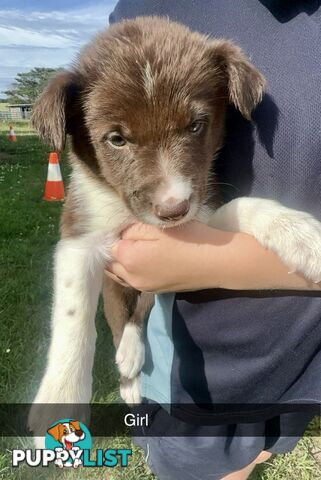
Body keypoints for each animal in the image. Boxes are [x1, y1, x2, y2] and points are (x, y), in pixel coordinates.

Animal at [28, 15, 320, 440]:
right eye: (116, 139)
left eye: (196, 125)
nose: (173, 210)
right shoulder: (80, 234)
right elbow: (73, 318)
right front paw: (61, 398)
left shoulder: (199, 214)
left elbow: (241, 206)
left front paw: (299, 233)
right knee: (119, 319)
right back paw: (129, 369)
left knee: (144, 307)